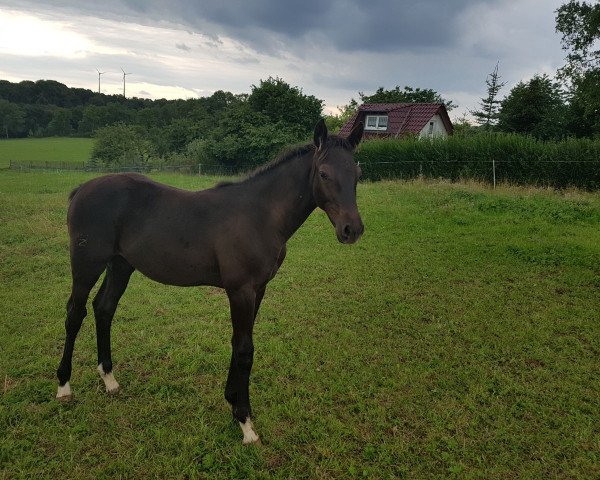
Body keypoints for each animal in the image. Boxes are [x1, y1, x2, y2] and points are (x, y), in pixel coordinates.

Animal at [57, 119, 366, 442]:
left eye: (358, 174)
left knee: (104, 308)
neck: (260, 215)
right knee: (75, 313)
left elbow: (239, 342)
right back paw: (64, 386)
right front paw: (245, 422)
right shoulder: (240, 290)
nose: (351, 229)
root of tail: (82, 189)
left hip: (120, 265)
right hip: (86, 265)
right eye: (324, 173)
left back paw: (109, 379)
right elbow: (244, 349)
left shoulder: (258, 289)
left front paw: (232, 402)